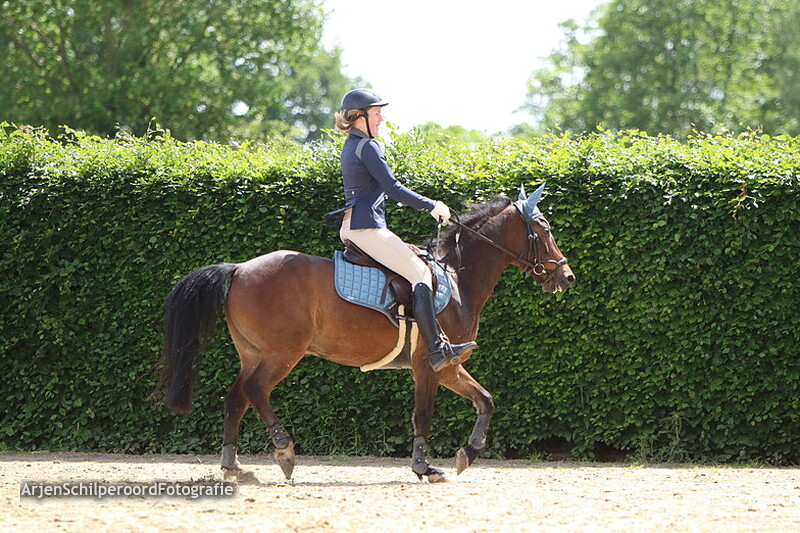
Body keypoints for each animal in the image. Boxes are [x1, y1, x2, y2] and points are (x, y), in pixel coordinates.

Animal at [158, 183, 575, 482]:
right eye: (544, 229)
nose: (567, 277)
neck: (457, 277)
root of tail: (239, 268)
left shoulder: (449, 366)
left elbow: (485, 400)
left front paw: (467, 455)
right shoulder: (429, 365)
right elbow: (423, 415)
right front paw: (424, 467)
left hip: (254, 353)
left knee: (235, 398)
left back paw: (233, 466)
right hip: (281, 354)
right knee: (255, 390)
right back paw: (285, 450)